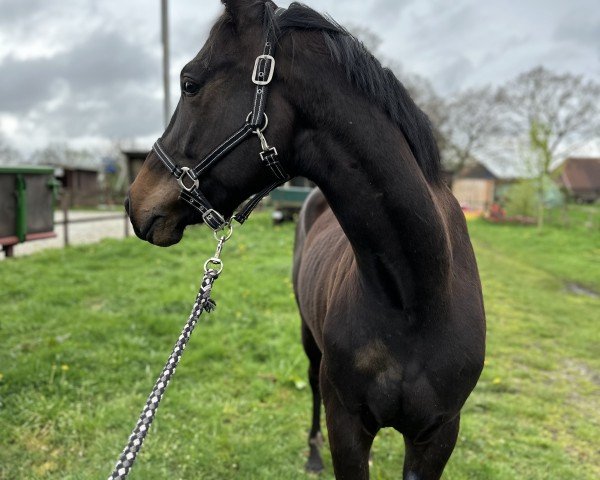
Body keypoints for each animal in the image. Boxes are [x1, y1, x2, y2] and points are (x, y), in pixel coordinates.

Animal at [126, 1, 488, 478]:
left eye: (190, 83)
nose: (134, 202)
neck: (415, 299)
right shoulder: (347, 425)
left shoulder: (438, 436)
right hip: (308, 339)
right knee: (313, 383)